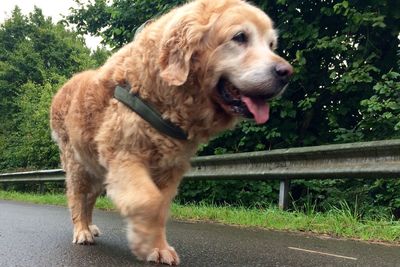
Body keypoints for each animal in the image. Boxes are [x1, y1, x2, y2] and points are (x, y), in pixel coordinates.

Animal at [51, 0, 292, 264]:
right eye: (240, 37)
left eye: (271, 45)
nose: (286, 72)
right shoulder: (125, 156)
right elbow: (149, 201)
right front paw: (143, 241)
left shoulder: (170, 169)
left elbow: (161, 208)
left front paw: (158, 247)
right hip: (77, 166)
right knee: (77, 198)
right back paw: (82, 230)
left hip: (95, 171)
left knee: (89, 199)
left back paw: (90, 226)